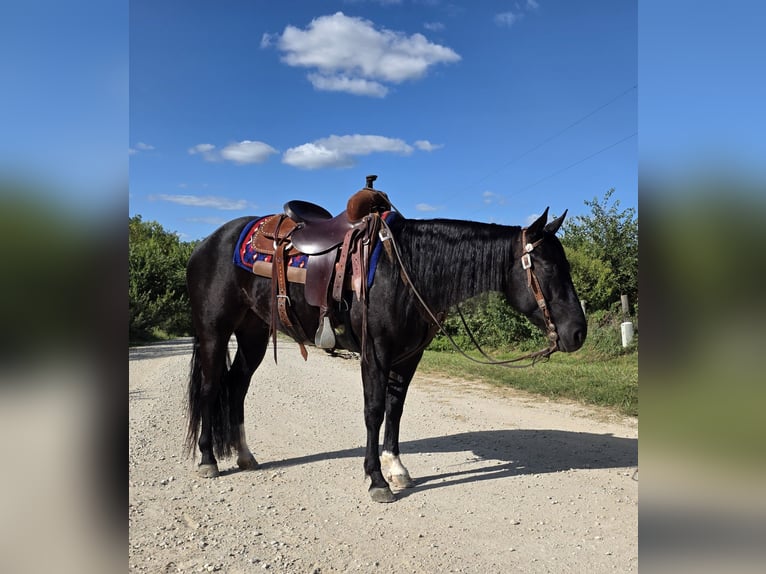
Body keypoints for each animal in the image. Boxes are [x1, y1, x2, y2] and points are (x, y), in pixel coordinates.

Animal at [184, 203, 587, 503]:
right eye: (547, 266)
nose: (578, 332)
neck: (405, 270)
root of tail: (207, 243)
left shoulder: (408, 356)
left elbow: (396, 409)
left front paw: (397, 470)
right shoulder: (375, 352)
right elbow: (374, 411)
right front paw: (377, 480)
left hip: (252, 335)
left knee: (236, 387)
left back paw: (244, 455)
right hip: (214, 332)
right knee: (210, 388)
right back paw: (208, 460)